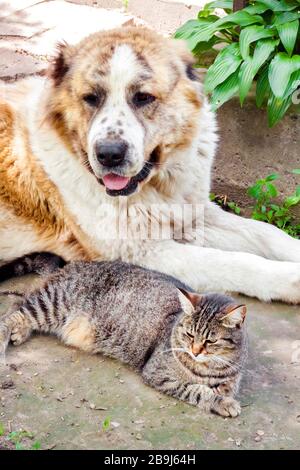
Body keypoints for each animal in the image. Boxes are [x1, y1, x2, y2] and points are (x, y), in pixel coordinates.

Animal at [0, 27, 300, 302]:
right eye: (91, 98)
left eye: (143, 97)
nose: (109, 154)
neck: (158, 185)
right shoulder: (141, 252)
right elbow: (234, 261)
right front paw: (289, 279)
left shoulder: (194, 212)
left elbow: (265, 232)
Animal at [0, 260, 247, 418]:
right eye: (189, 335)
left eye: (210, 341)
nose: (195, 351)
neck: (208, 368)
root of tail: (73, 264)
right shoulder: (158, 374)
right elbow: (197, 390)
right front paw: (221, 402)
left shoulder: (230, 378)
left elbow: (222, 386)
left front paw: (221, 394)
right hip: (53, 304)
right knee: (12, 312)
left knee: (19, 306)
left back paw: (21, 332)